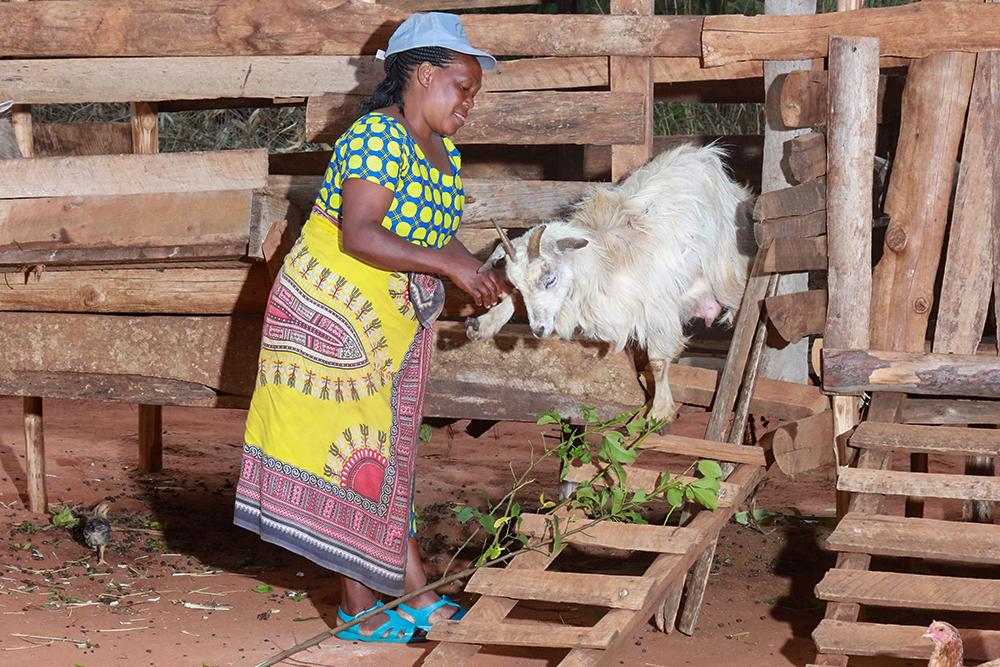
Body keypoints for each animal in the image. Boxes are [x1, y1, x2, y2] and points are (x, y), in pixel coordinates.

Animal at [468, 142, 752, 422]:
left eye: (550, 279)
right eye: (516, 283)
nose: (538, 330)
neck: (603, 265)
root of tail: (704, 153)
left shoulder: (657, 308)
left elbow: (658, 362)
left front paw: (660, 412)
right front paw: (484, 323)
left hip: (727, 271)